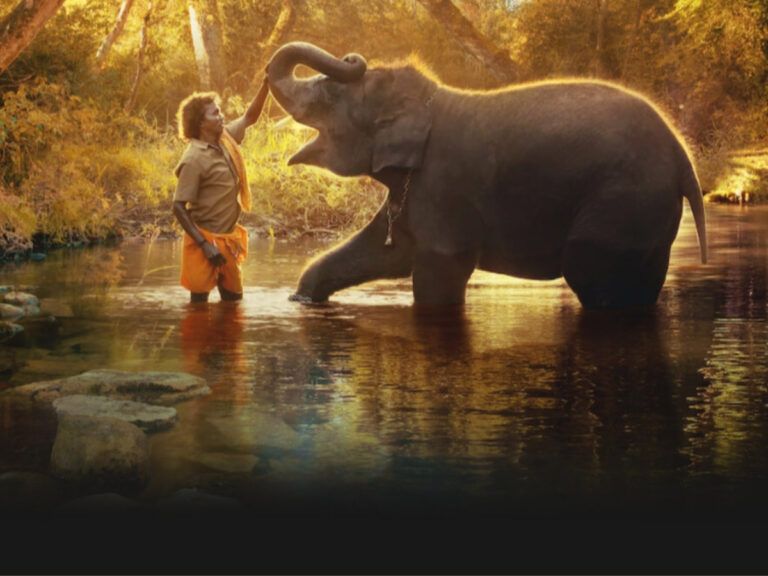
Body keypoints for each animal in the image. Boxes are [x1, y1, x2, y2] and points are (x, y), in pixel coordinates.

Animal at [266, 41, 708, 308]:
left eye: (329, 96)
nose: (352, 58)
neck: (430, 101)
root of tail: (683, 157)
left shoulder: (444, 185)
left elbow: (438, 270)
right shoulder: (417, 188)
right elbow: (385, 251)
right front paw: (303, 300)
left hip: (624, 199)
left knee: (590, 271)